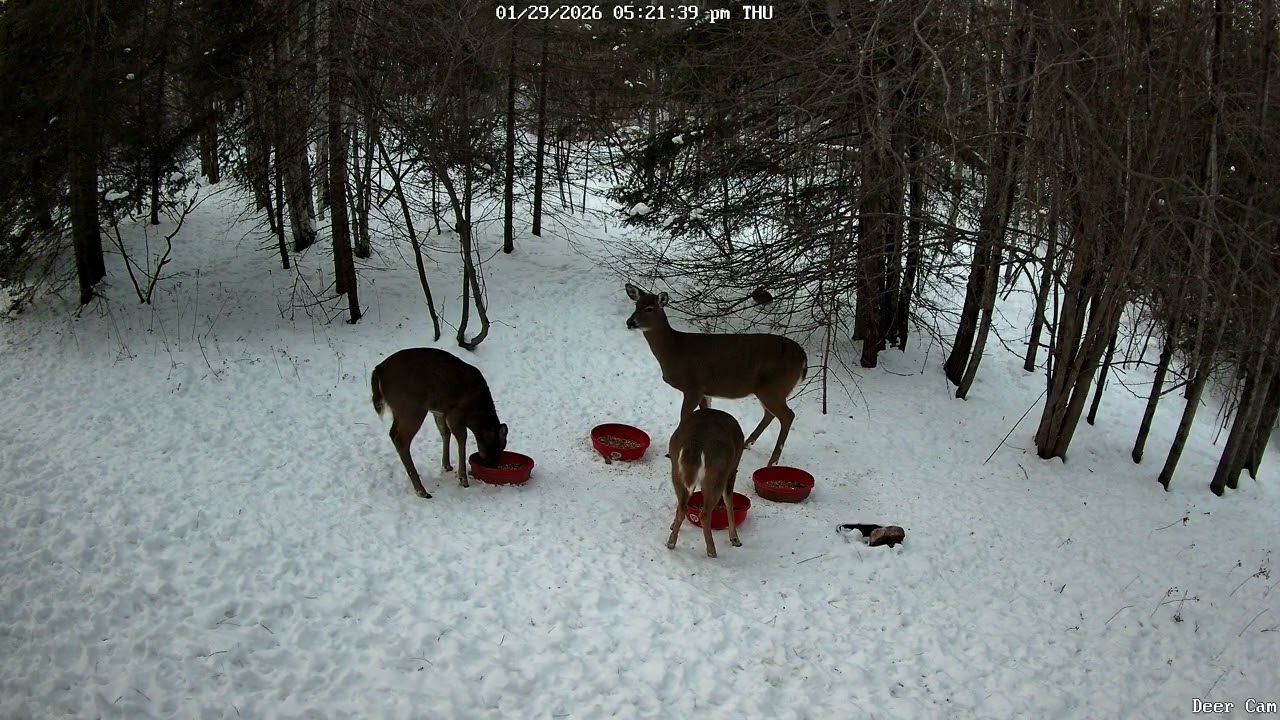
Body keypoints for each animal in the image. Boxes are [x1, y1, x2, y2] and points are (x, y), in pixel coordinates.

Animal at [370, 348, 508, 499]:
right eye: (497, 447)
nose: (493, 465)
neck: (476, 410)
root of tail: (378, 371)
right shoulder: (456, 411)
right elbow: (462, 437)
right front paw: (463, 479)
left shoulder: (440, 412)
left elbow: (444, 432)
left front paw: (447, 465)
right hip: (412, 407)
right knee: (401, 439)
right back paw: (422, 490)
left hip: (401, 410)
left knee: (392, 433)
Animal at [625, 283, 807, 467]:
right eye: (636, 305)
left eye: (649, 308)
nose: (630, 322)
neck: (675, 349)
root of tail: (803, 358)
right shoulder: (705, 390)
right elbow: (706, 413)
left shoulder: (693, 386)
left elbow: (685, 416)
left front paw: (673, 452)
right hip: (768, 390)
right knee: (770, 414)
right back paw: (747, 443)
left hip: (774, 387)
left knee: (787, 415)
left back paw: (772, 462)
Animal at [666, 408, 745, 558]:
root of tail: (694, 445)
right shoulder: (732, 469)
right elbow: (729, 501)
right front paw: (735, 539)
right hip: (717, 475)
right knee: (704, 514)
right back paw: (712, 551)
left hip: (676, 471)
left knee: (682, 507)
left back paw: (671, 543)